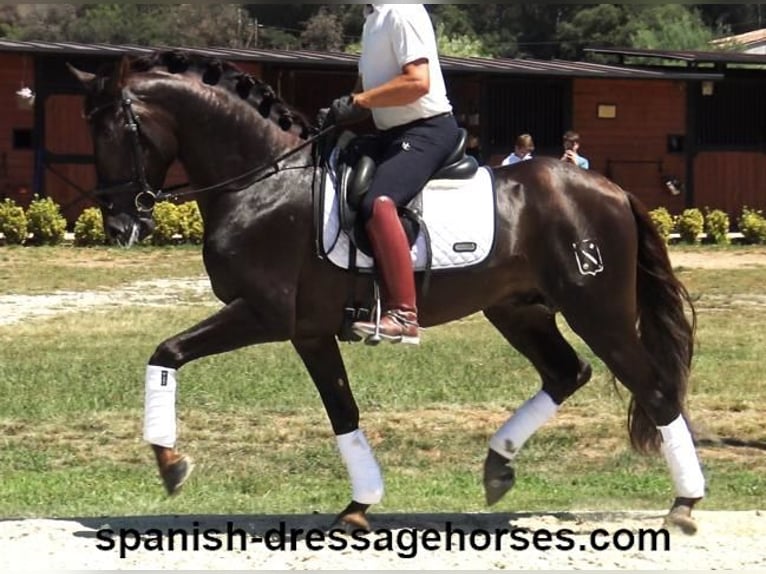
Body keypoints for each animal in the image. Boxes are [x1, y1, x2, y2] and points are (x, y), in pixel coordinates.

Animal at [70, 51, 708, 536]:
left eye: (118, 130)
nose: (121, 225)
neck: (262, 182)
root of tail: (609, 189)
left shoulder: (263, 314)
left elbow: (167, 352)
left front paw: (170, 464)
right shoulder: (307, 331)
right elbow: (342, 411)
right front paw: (359, 506)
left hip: (597, 309)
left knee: (653, 388)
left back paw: (684, 505)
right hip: (517, 310)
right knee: (566, 373)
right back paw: (497, 467)